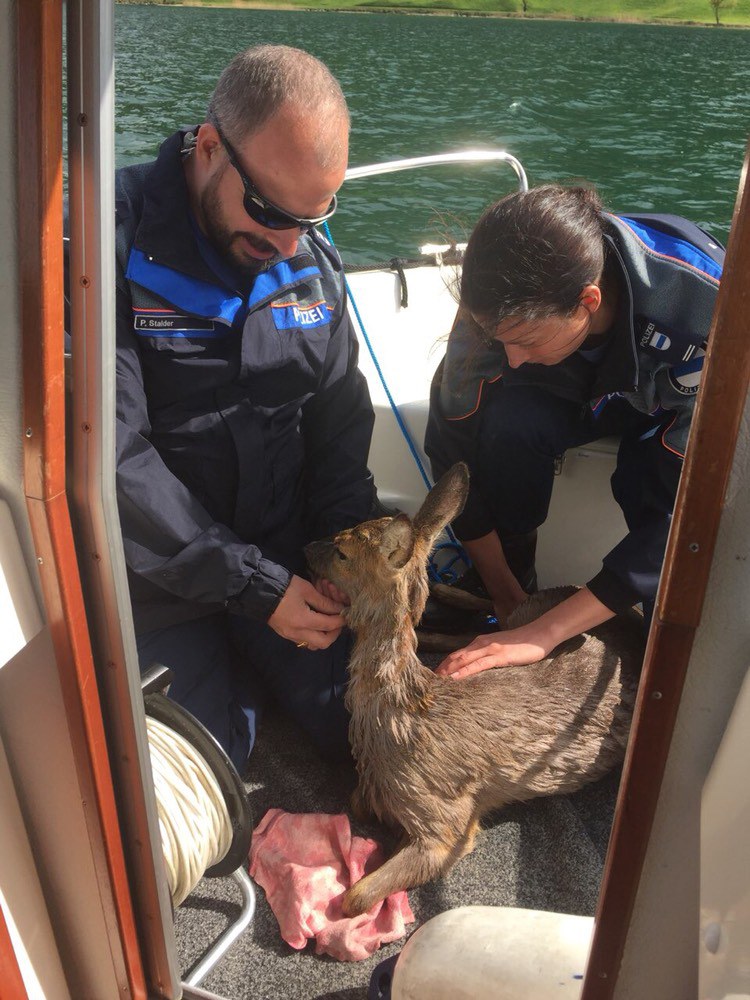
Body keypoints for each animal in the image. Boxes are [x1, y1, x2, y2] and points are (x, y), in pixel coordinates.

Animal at [305, 463, 642, 916]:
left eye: (342, 552)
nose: (307, 546)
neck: (404, 710)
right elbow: (359, 802)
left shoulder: (446, 821)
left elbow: (354, 899)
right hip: (530, 612)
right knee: (492, 617)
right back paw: (443, 599)